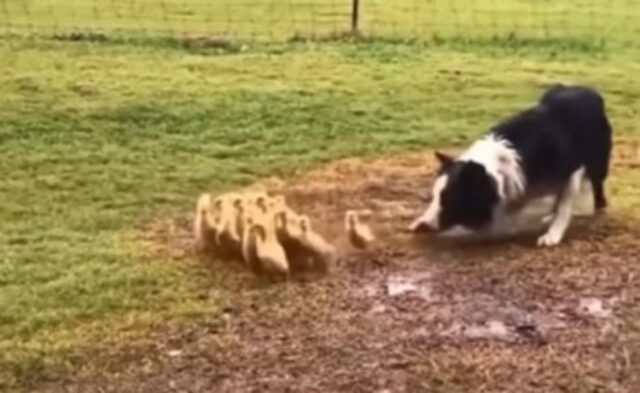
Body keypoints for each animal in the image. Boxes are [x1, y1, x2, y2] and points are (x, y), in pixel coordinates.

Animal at [412, 84, 612, 247]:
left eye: (449, 199)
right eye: (435, 196)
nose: (426, 225)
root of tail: (588, 89)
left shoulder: (572, 169)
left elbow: (564, 206)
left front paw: (553, 235)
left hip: (598, 163)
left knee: (597, 187)